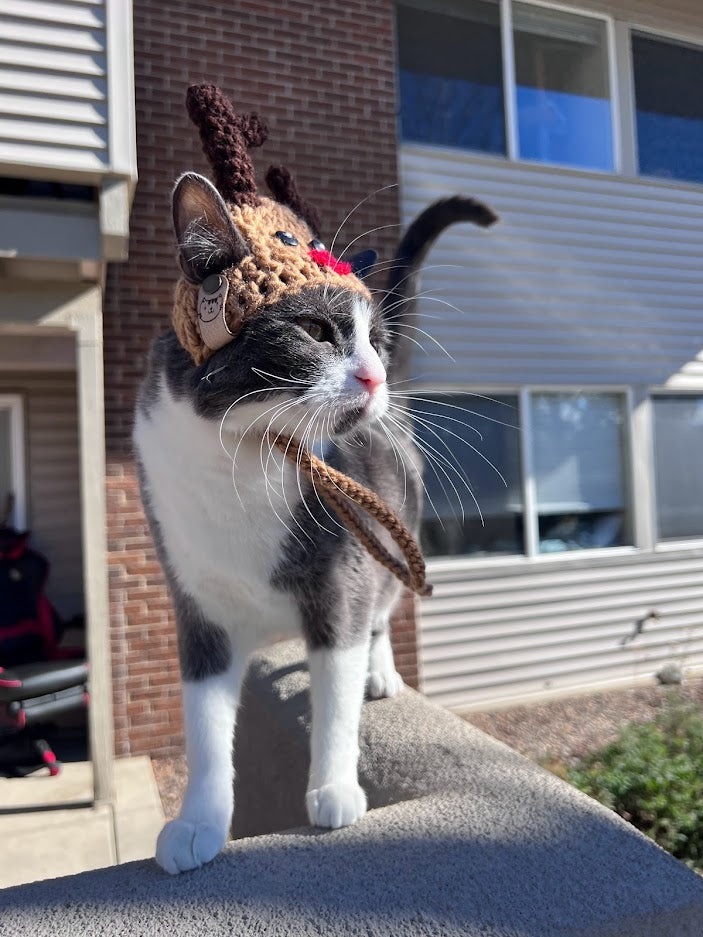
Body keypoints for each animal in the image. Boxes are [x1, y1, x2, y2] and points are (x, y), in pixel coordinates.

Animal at [132, 166, 496, 872]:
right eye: (316, 330)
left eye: (375, 341)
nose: (376, 376)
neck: (244, 455)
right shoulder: (196, 602)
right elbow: (205, 724)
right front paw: (198, 823)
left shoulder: (340, 581)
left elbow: (336, 693)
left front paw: (333, 790)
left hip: (392, 530)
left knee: (382, 611)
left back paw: (380, 674)